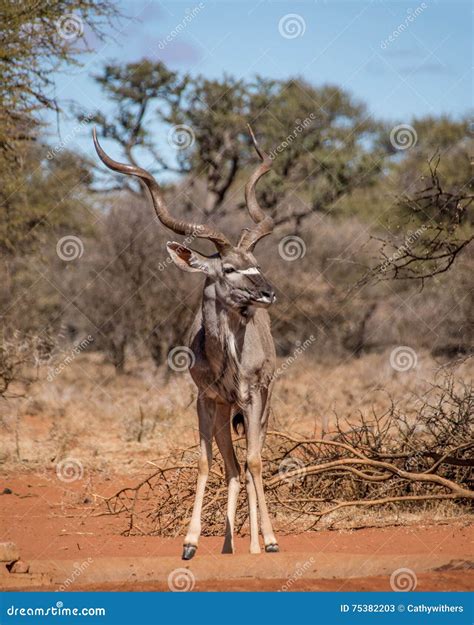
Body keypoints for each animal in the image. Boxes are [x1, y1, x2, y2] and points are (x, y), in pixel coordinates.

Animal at [92, 124, 278, 560]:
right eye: (229, 268)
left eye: (256, 264)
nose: (267, 292)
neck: (225, 359)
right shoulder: (205, 400)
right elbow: (208, 463)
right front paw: (191, 542)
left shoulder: (252, 397)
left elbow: (256, 461)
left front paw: (267, 542)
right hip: (226, 412)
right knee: (232, 465)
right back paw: (228, 545)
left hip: (261, 405)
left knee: (251, 461)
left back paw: (256, 542)